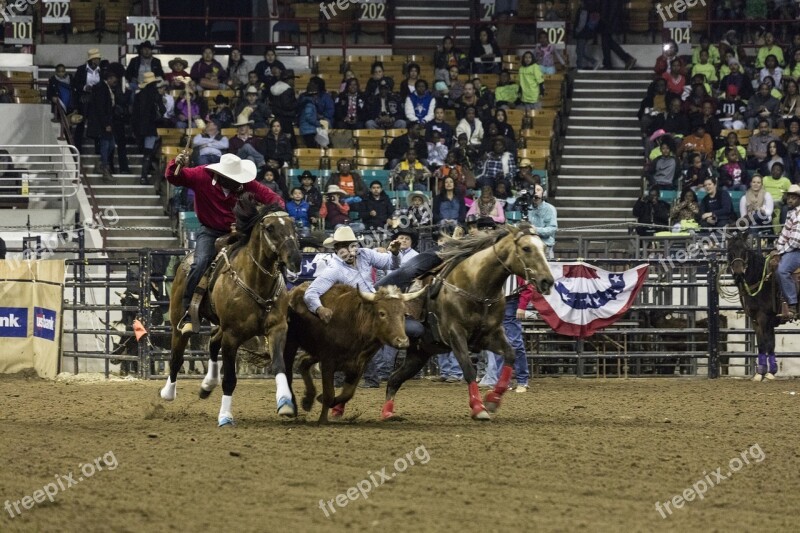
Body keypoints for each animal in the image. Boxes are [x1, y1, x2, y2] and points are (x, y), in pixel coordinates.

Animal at [160, 197, 304, 426]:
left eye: (293, 226)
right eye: (270, 228)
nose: (295, 259)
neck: (256, 282)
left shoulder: (277, 329)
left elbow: (279, 365)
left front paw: (285, 403)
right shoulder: (232, 335)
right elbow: (229, 379)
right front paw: (225, 416)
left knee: (212, 340)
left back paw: (208, 384)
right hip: (179, 323)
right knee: (176, 356)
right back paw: (168, 392)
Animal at [382, 222, 552, 422]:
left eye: (544, 247)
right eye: (526, 248)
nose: (547, 281)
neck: (477, 285)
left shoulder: (490, 335)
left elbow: (511, 355)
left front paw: (493, 399)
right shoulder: (455, 335)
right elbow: (469, 368)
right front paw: (478, 407)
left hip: (419, 354)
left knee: (394, 378)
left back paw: (387, 413)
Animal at [728, 231, 784, 380]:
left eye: (745, 251)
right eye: (730, 251)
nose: (738, 273)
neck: (760, 280)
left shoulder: (764, 317)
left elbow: (766, 343)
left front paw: (766, 373)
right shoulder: (756, 320)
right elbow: (765, 344)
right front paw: (764, 372)